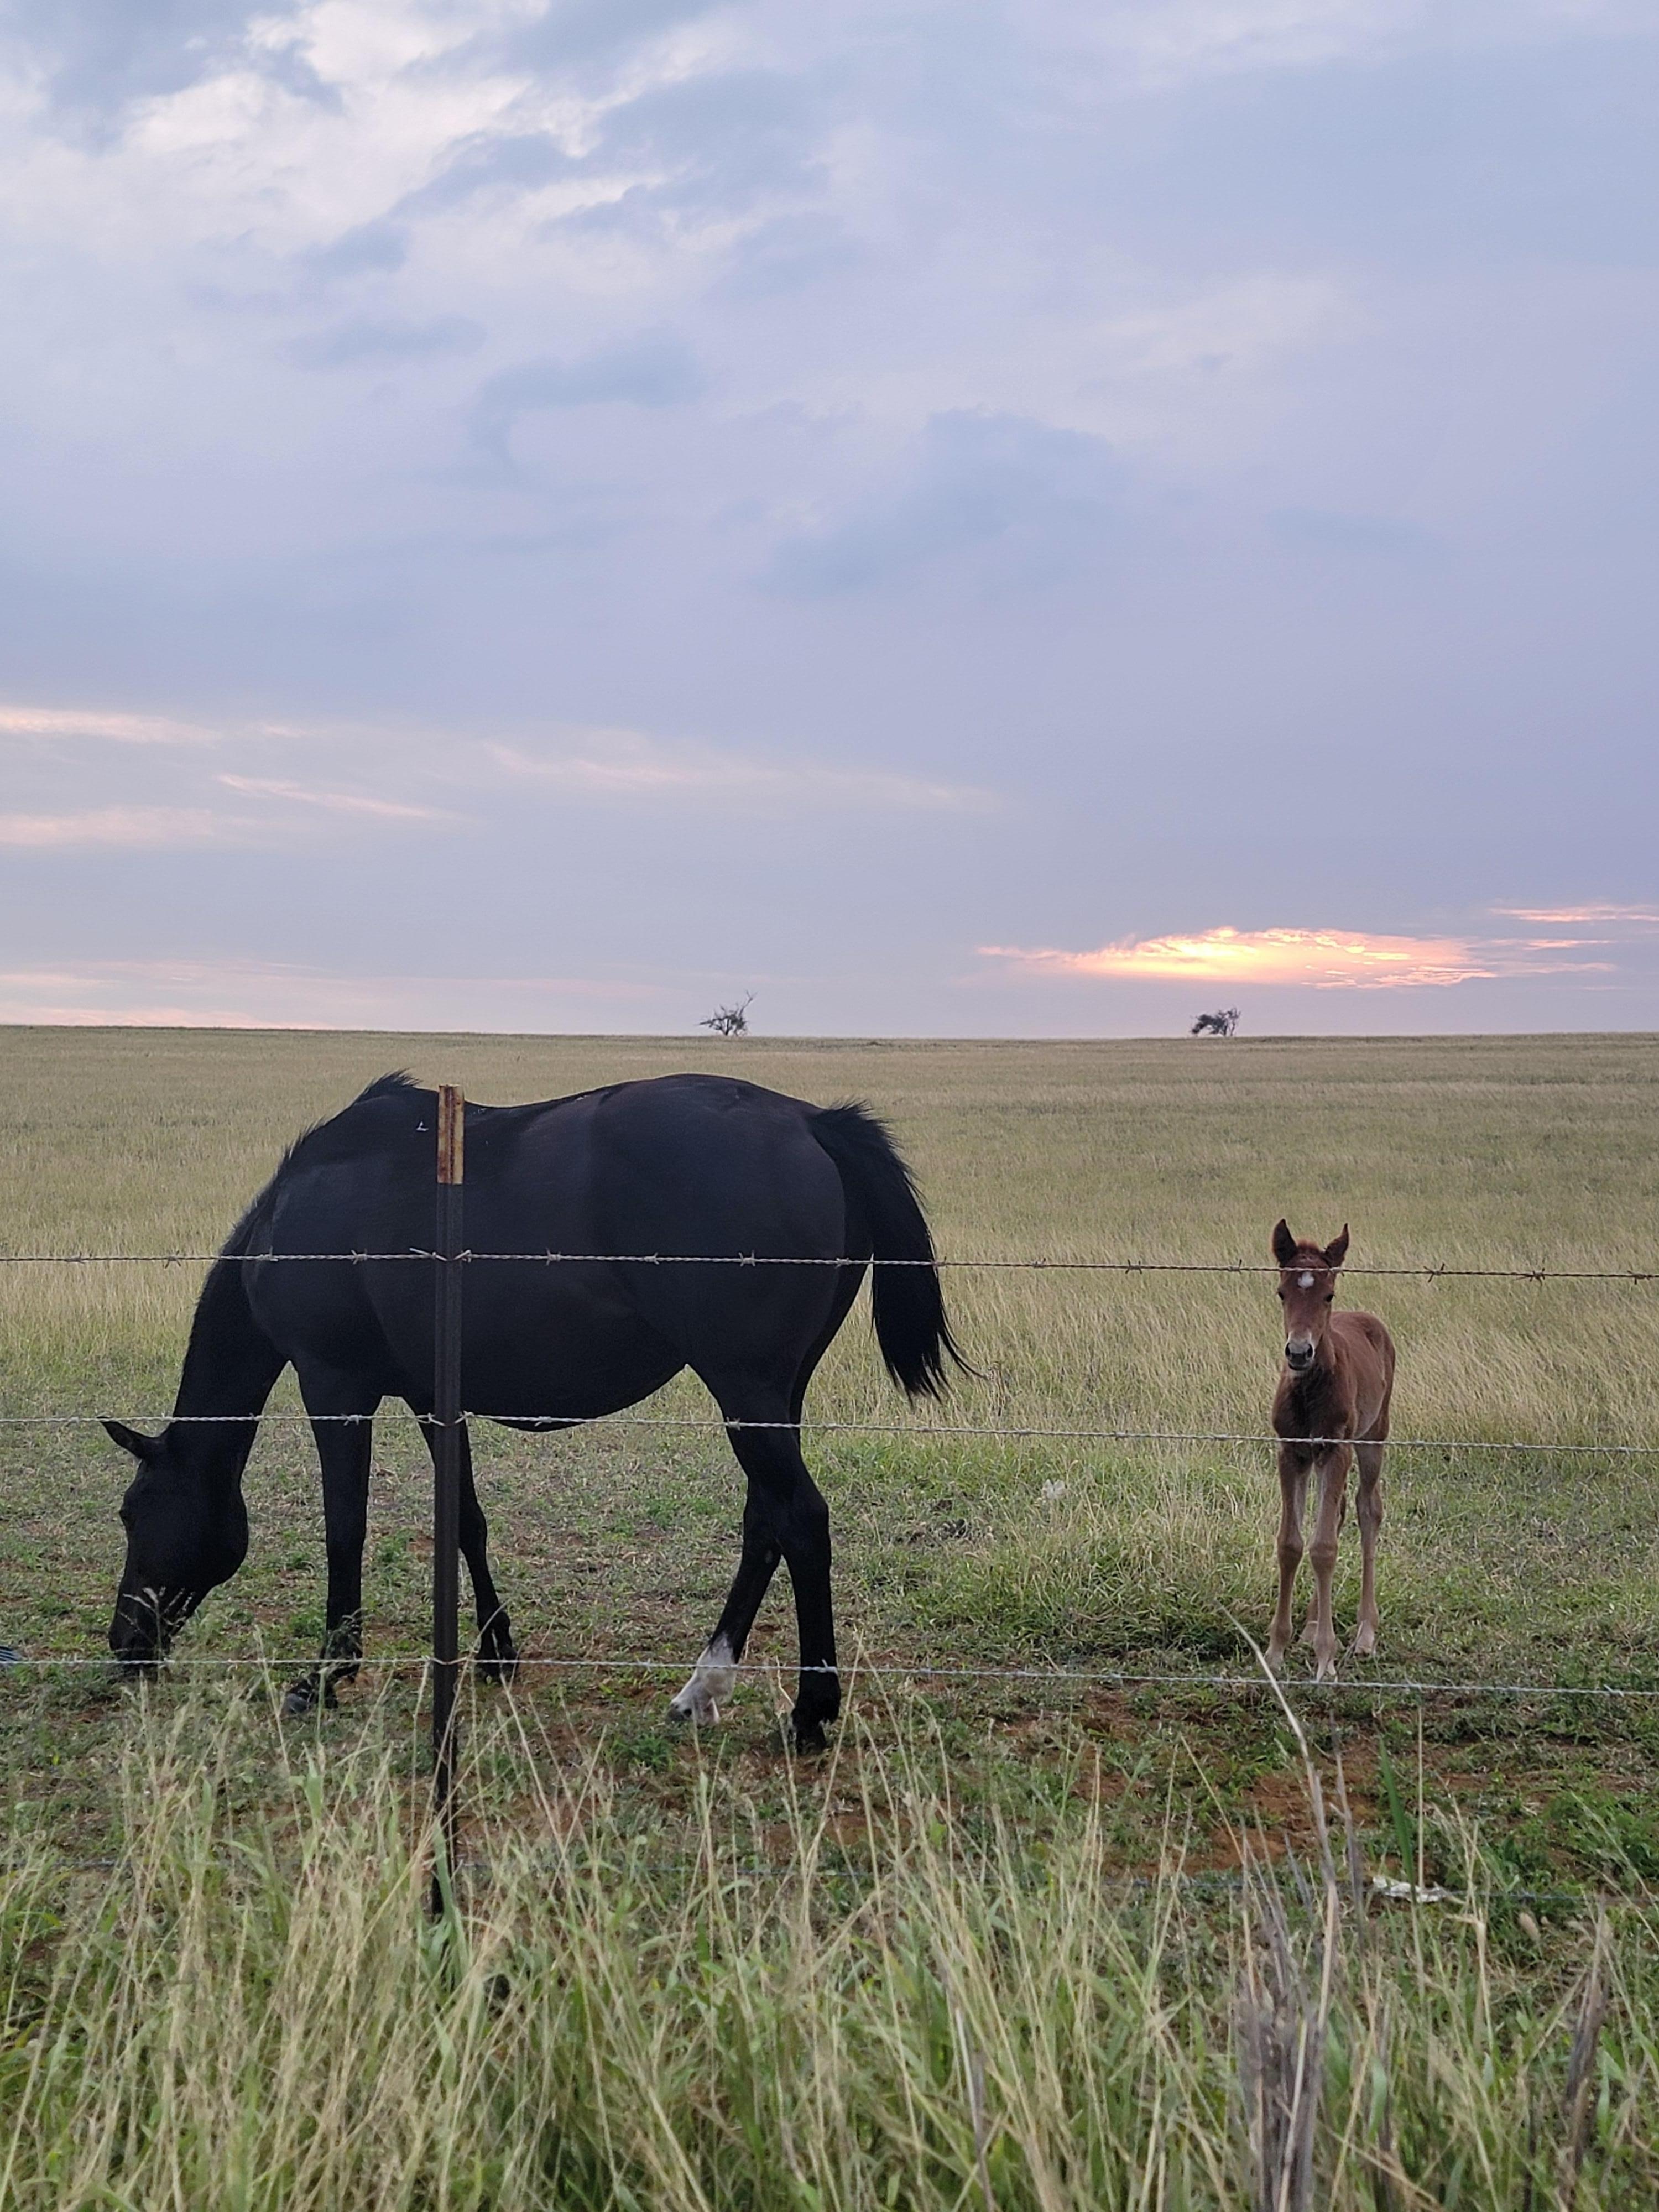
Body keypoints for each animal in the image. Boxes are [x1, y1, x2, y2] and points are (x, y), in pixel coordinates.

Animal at [103, 1071, 965, 1748]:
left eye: (133, 1513)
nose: (122, 1647)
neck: (302, 1210)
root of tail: (815, 1122)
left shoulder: (334, 1385)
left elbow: (344, 1528)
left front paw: (326, 1673)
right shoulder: (432, 1397)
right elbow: (465, 1520)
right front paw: (495, 1652)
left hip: (746, 1388)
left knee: (803, 1521)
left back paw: (811, 1711)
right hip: (775, 1394)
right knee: (768, 1523)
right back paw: (702, 1688)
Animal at [1267, 1220, 1395, 1679]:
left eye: (1328, 1295)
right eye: (1282, 1292)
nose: (1299, 1352)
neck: (1309, 1393)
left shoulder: (1337, 1450)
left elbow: (1324, 1548)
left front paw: (1327, 1660)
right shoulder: (1292, 1453)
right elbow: (1291, 1544)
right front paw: (1277, 1650)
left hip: (1374, 1436)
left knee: (1368, 1509)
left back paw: (1364, 1634)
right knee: (1338, 1513)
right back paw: (1311, 1626)